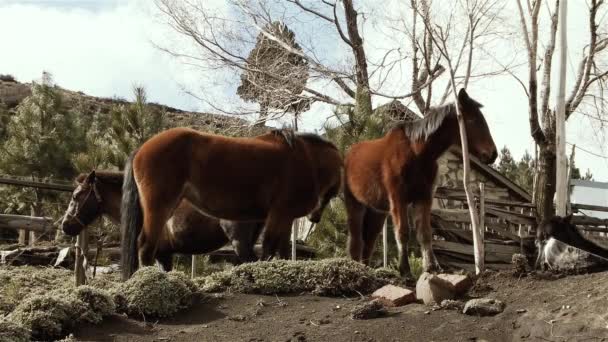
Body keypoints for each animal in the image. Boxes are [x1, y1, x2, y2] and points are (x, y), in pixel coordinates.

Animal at [121, 128, 344, 280]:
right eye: (333, 191)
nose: (315, 218)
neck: (305, 158)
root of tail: (142, 148)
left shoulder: (285, 217)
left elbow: (282, 251)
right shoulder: (278, 214)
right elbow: (269, 248)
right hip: (159, 207)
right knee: (145, 246)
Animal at [344, 89, 496, 280]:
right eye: (472, 120)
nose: (493, 154)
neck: (417, 153)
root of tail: (349, 154)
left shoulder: (424, 197)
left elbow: (424, 233)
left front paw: (431, 267)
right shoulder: (398, 198)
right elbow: (403, 232)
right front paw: (405, 270)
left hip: (378, 211)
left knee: (369, 239)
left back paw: (366, 268)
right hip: (355, 204)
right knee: (356, 237)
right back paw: (357, 267)